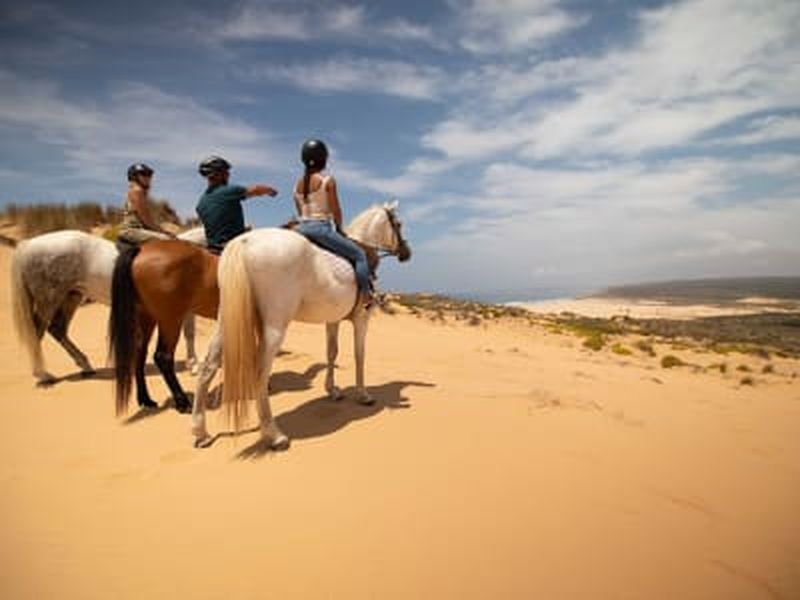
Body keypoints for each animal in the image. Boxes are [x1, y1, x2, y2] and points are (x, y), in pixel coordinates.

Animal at [10, 228, 204, 385]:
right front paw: (194, 364)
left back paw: (85, 366)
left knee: (57, 330)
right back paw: (43, 375)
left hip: (71, 297)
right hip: (49, 300)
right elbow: (189, 333)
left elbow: (188, 333)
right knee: (38, 332)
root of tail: (28, 244)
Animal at [190, 201, 411, 450]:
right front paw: (363, 395)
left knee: (208, 366)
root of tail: (243, 242)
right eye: (398, 224)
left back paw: (201, 432)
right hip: (274, 327)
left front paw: (332, 391)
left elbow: (332, 352)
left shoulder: (332, 320)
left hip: (226, 321)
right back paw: (273, 434)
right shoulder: (361, 319)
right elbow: (359, 355)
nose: (406, 252)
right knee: (260, 373)